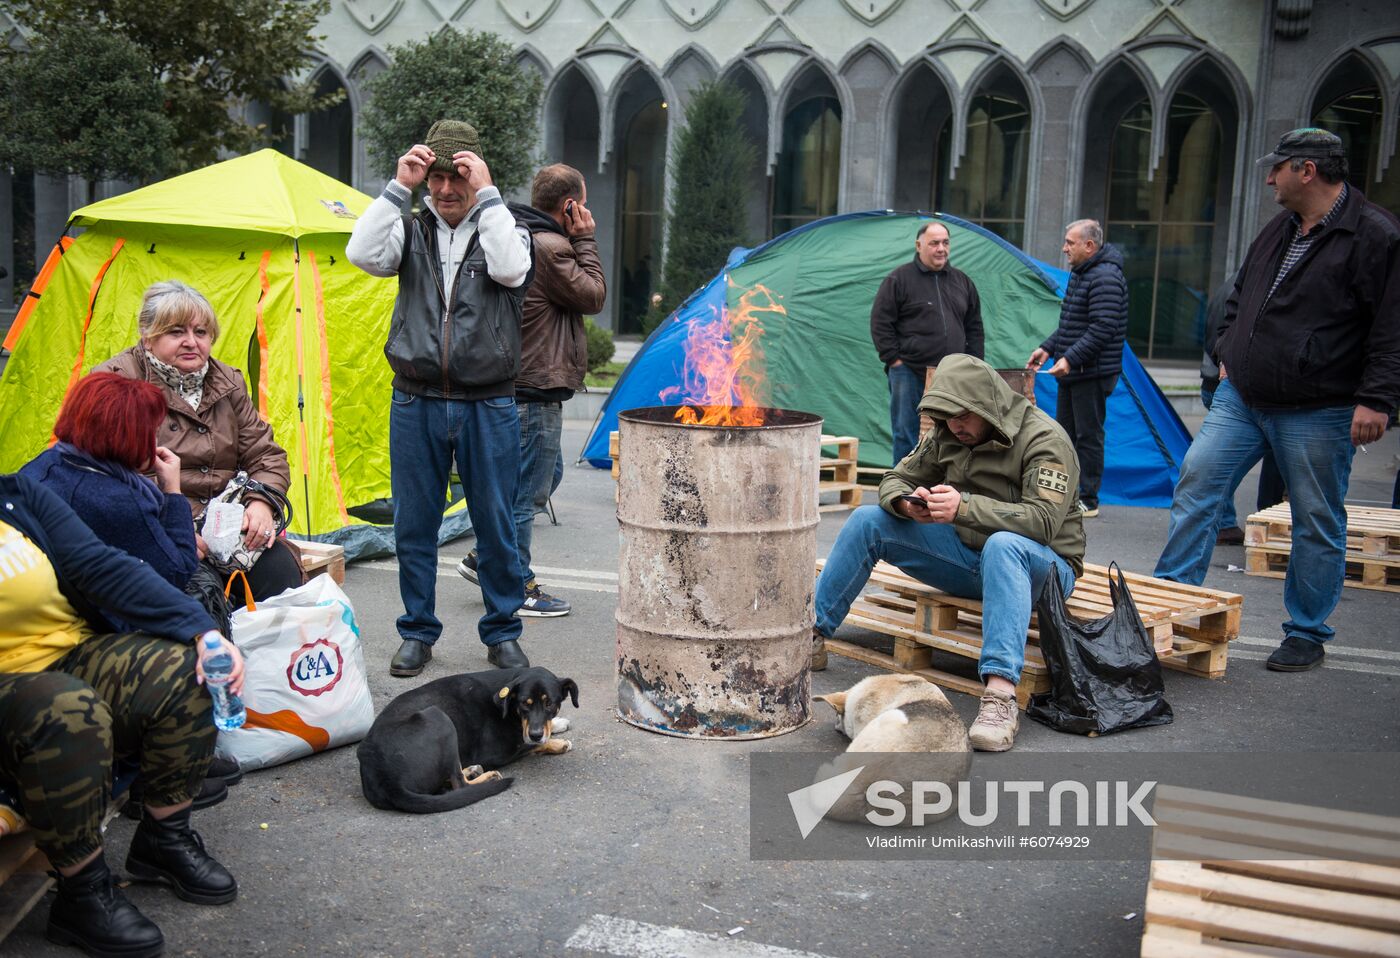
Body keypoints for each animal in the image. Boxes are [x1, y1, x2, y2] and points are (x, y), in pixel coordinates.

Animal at [361, 666, 585, 817]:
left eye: (550, 704)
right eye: (524, 704)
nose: (536, 733)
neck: (507, 704)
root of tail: (385, 780)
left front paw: (556, 724)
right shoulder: (499, 752)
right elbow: (528, 744)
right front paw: (557, 743)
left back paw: (471, 769)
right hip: (439, 717)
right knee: (459, 785)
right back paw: (486, 776)